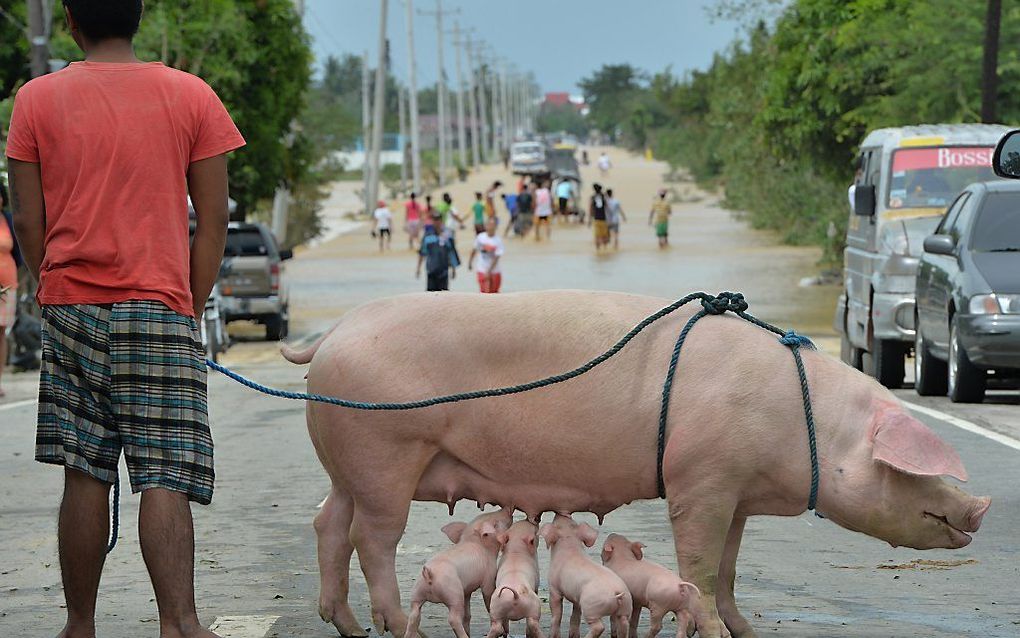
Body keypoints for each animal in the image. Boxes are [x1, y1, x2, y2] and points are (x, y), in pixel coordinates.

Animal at [285, 289, 987, 636]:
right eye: (916, 467)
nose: (979, 506)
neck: (806, 421)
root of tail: (332, 336)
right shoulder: (699, 477)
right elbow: (699, 566)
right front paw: (712, 629)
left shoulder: (734, 489)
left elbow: (728, 568)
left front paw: (747, 631)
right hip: (385, 451)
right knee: (371, 537)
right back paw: (389, 624)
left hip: (348, 462)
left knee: (327, 523)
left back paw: (346, 625)